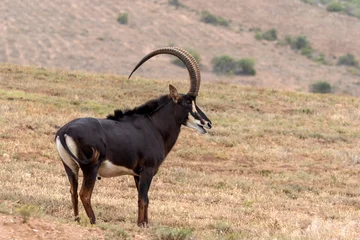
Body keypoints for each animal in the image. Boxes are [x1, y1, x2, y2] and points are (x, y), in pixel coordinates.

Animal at [55, 47, 212, 227]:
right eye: (187, 102)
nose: (208, 123)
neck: (153, 125)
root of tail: (64, 131)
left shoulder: (137, 174)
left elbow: (144, 199)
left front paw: (144, 223)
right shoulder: (147, 171)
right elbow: (143, 199)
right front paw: (142, 225)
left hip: (70, 167)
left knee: (73, 191)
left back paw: (77, 219)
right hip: (91, 168)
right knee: (84, 194)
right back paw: (94, 221)